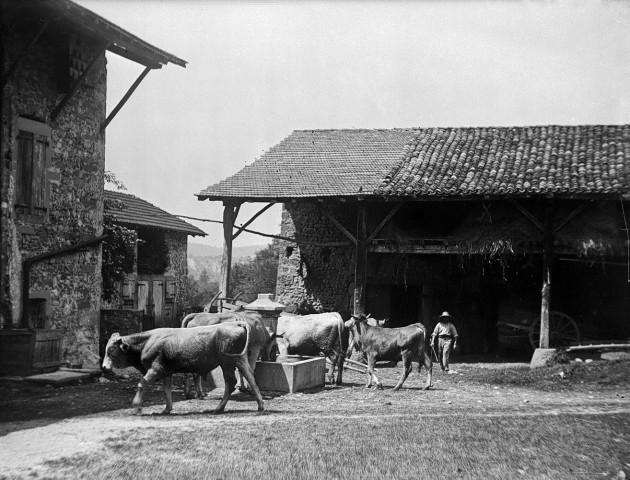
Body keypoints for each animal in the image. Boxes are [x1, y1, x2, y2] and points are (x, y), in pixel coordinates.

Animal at [102, 324, 266, 414]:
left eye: (111, 350)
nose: (104, 367)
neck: (147, 342)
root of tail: (236, 324)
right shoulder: (166, 372)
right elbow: (166, 390)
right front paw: (167, 409)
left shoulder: (155, 370)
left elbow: (141, 384)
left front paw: (137, 406)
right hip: (239, 360)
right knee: (250, 378)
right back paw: (260, 405)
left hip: (228, 363)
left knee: (231, 383)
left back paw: (219, 408)